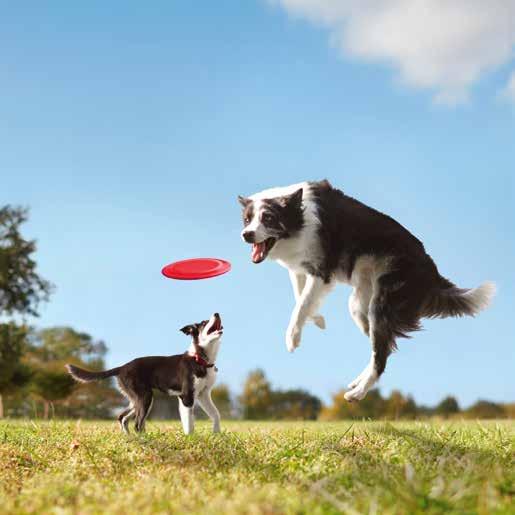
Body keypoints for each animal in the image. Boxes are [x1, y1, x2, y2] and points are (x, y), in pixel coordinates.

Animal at [66, 312, 224, 434]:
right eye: (204, 323)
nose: (216, 313)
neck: (200, 359)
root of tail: (122, 367)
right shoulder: (186, 397)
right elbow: (189, 425)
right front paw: (190, 439)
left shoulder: (203, 394)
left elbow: (216, 414)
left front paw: (216, 434)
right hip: (145, 396)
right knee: (137, 424)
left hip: (136, 399)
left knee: (123, 418)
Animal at [238, 181, 496, 404]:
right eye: (247, 220)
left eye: (268, 218)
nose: (246, 234)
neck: (298, 217)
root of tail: (432, 271)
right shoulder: (300, 268)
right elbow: (300, 296)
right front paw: (317, 319)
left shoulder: (321, 270)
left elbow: (301, 304)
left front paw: (292, 337)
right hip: (360, 307)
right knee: (381, 349)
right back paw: (357, 383)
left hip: (382, 304)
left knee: (381, 356)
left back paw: (357, 394)